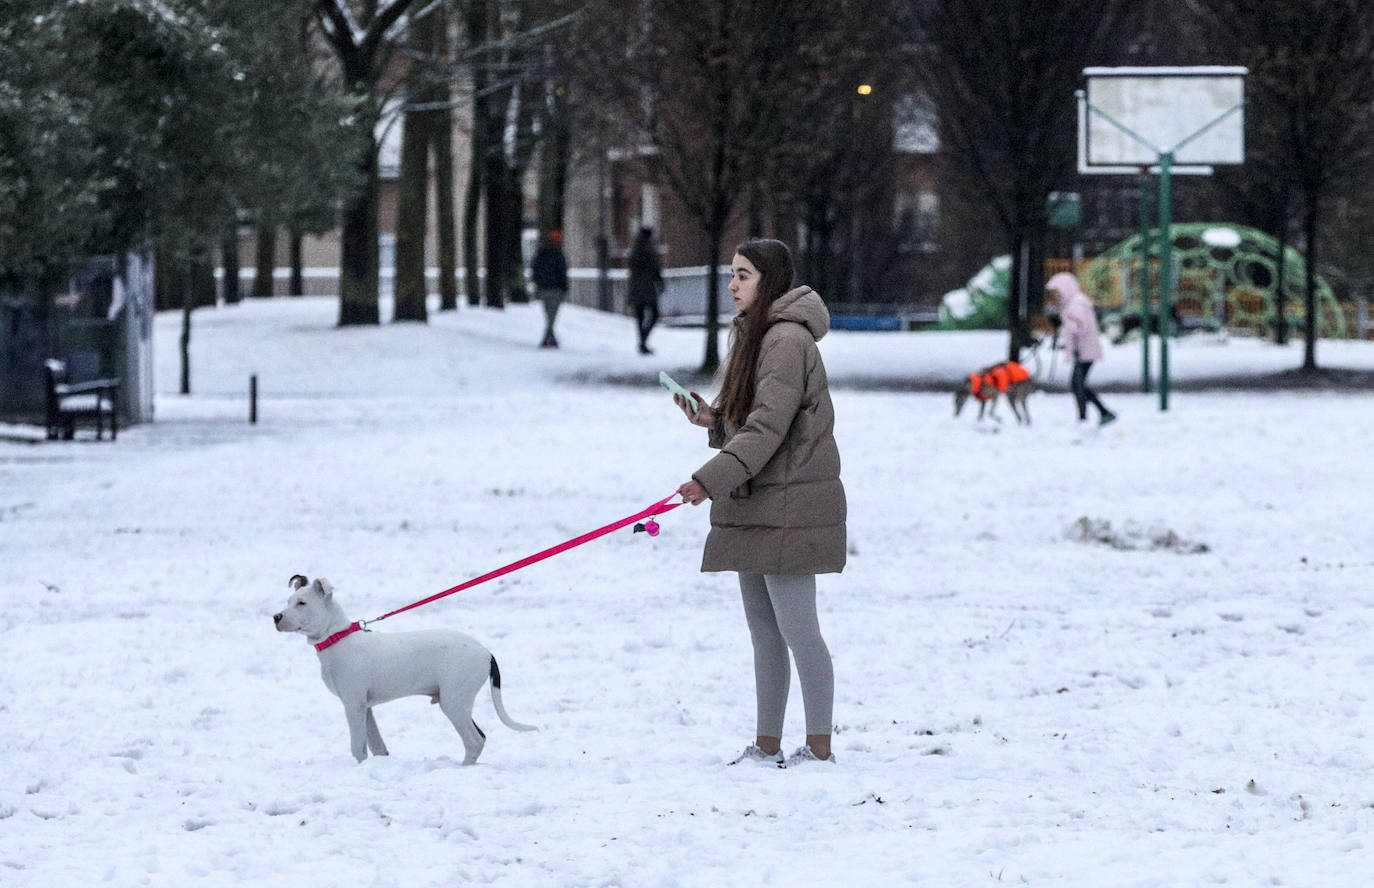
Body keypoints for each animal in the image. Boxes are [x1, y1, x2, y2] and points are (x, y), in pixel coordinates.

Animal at [273, 577, 535, 764]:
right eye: (288, 601)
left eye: (302, 603)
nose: (276, 616)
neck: (337, 638)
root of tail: (485, 651)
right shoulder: (365, 707)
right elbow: (376, 746)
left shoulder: (353, 704)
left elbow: (357, 747)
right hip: (457, 700)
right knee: (480, 737)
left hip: (454, 700)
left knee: (473, 741)